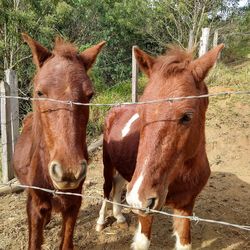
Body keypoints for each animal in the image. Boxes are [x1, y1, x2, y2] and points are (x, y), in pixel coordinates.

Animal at [12, 33, 104, 250]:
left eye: (89, 95)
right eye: (39, 92)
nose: (69, 172)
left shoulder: (73, 205)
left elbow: (66, 241)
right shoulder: (35, 207)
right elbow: (34, 240)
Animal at [96, 44, 225, 249]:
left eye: (187, 116)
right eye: (142, 111)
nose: (139, 198)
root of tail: (116, 108)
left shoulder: (185, 206)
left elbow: (184, 243)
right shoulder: (145, 211)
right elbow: (143, 242)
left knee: (118, 184)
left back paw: (119, 216)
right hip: (108, 164)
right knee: (107, 188)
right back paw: (101, 221)